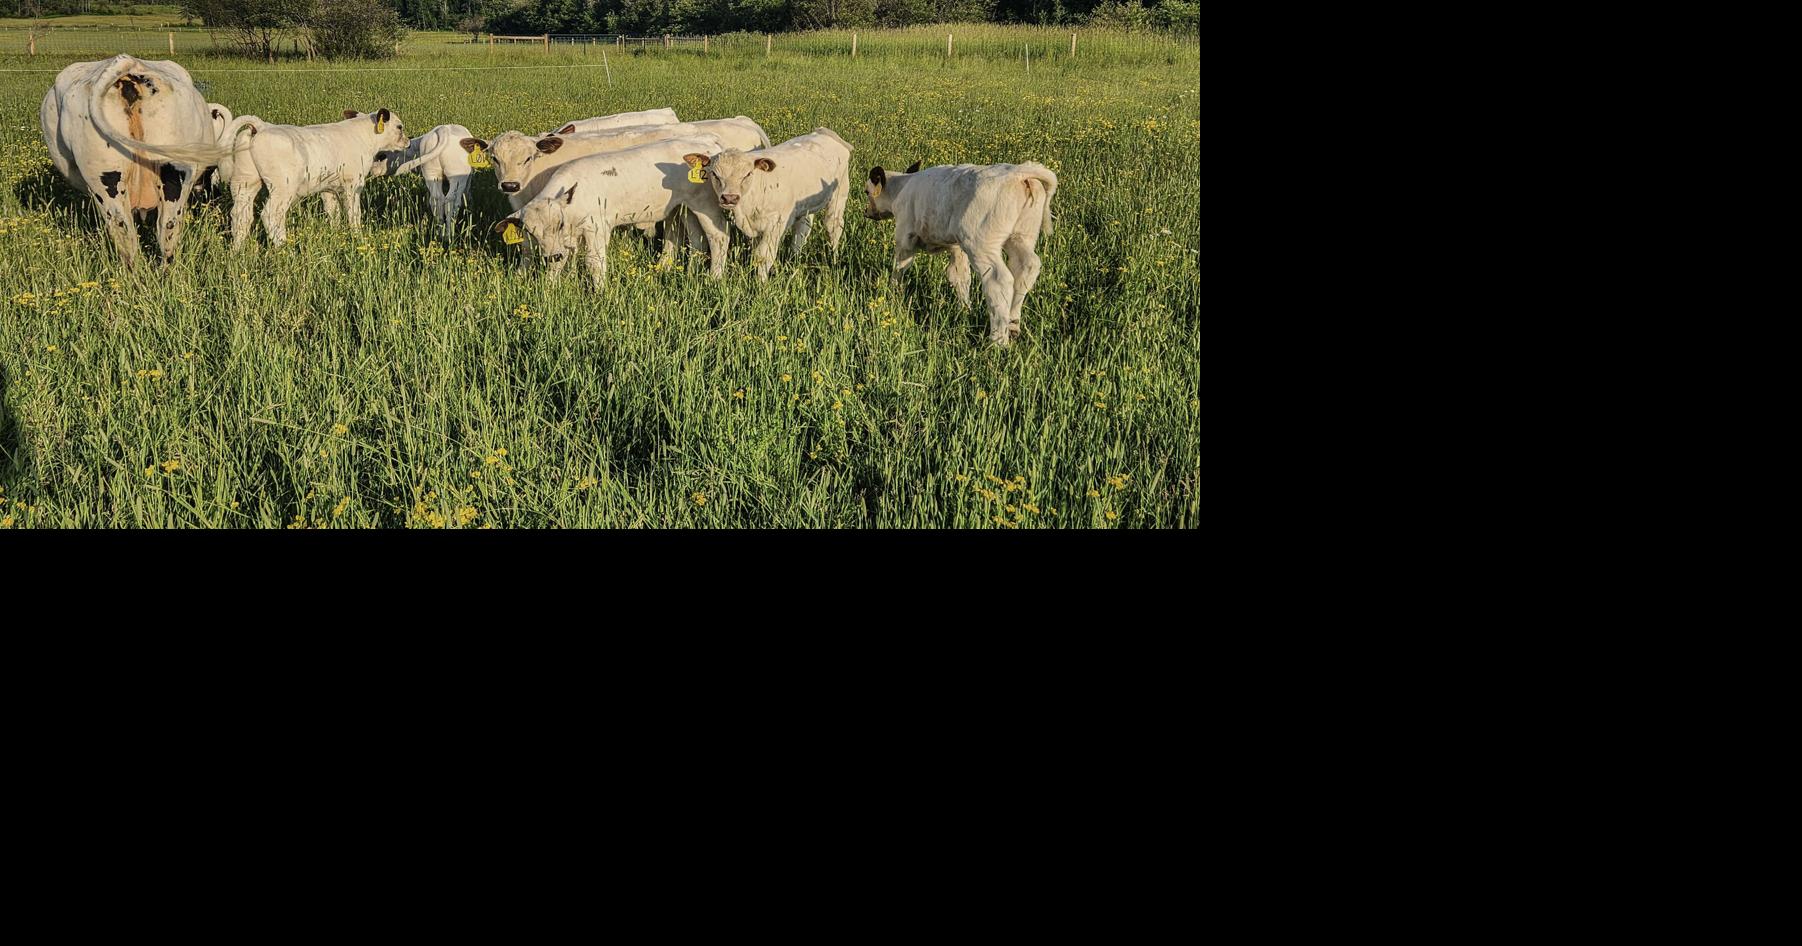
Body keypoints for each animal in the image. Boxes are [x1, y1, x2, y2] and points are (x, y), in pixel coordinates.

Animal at [221, 108, 409, 248]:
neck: (363, 138)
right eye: (399, 127)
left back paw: (237, 251)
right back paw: (284, 248)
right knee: (271, 215)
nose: (407, 142)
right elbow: (354, 214)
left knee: (240, 215)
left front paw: (336, 235)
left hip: (244, 182)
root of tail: (262, 126)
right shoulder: (353, 185)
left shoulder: (328, 188)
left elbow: (333, 214)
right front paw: (357, 237)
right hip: (282, 188)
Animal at [492, 135, 734, 288]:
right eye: (530, 232)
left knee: (719, 236)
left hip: (706, 205)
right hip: (686, 207)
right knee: (697, 240)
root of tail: (707, 143)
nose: (554, 254)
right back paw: (692, 272)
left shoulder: (596, 227)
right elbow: (561, 261)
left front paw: (601, 293)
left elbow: (595, 262)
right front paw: (551, 289)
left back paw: (715, 277)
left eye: (559, 223)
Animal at [689, 127, 852, 281]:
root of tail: (823, 133)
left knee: (833, 227)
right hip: (806, 205)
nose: (729, 198)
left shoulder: (776, 224)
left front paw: (761, 284)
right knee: (802, 229)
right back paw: (794, 258)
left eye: (748, 174)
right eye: (714, 174)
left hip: (839, 196)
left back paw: (834, 258)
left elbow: (763, 255)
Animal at [863, 161, 1058, 346]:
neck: (901, 187)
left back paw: (998, 341)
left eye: (866, 191)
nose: (866, 212)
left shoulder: (905, 237)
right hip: (1021, 237)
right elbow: (959, 276)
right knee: (1027, 267)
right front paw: (965, 309)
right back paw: (1013, 326)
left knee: (999, 280)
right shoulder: (957, 247)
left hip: (980, 244)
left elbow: (899, 268)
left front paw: (892, 293)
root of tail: (1017, 172)